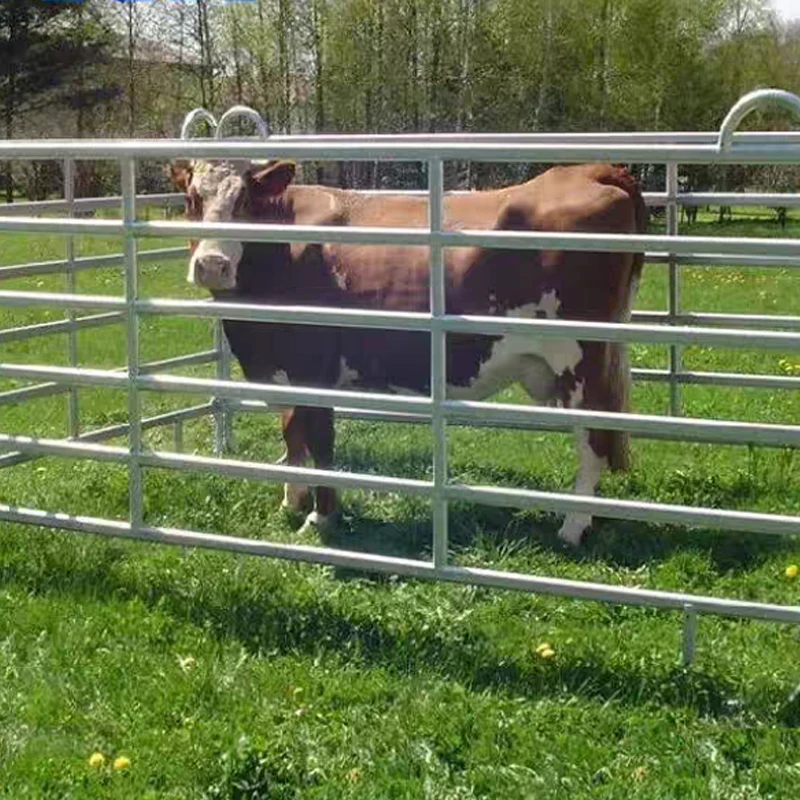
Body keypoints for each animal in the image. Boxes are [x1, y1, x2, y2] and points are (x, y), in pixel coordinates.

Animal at [170, 159, 648, 548]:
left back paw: (573, 526)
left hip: (581, 360)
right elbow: (292, 432)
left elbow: (320, 441)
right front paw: (291, 500)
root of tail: (589, 170)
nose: (212, 264)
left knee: (594, 439)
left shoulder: (314, 367)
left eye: (246, 198)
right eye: (192, 198)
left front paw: (321, 518)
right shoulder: (285, 370)